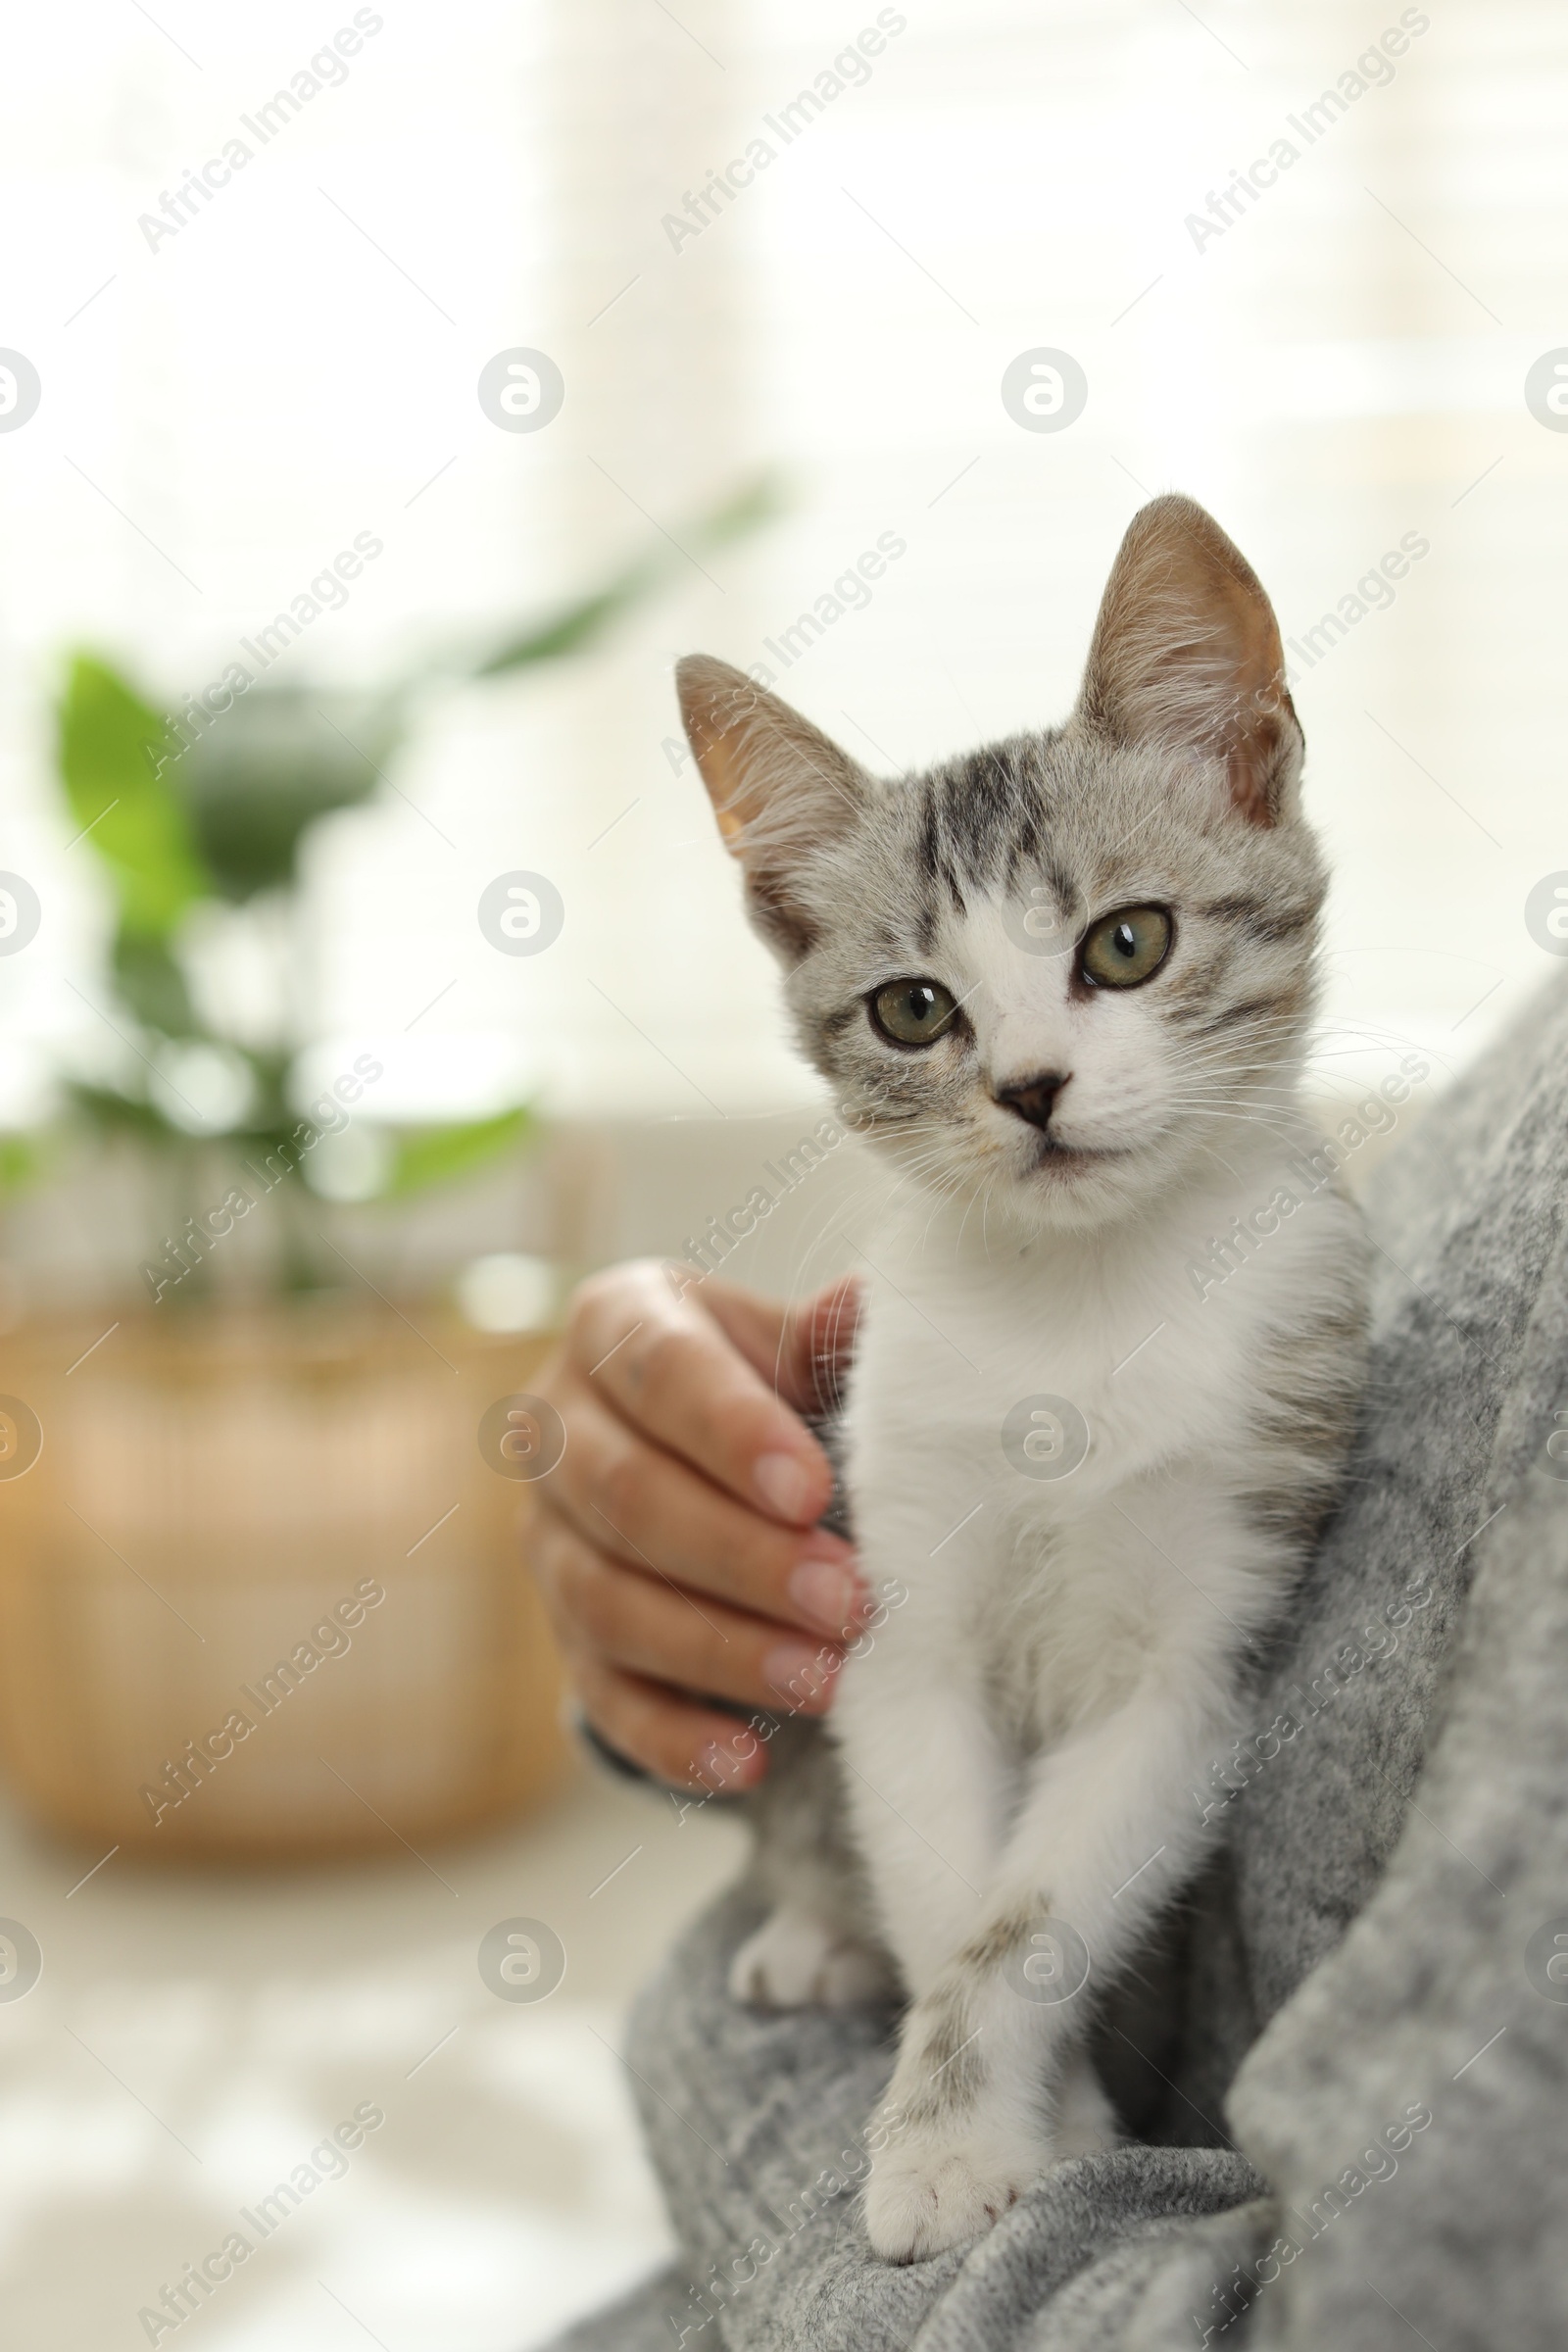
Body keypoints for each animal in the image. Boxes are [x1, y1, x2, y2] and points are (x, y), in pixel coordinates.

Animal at [676, 491, 1372, 2258]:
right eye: (914, 1009)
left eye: (1128, 943)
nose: (1032, 1089)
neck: (1079, 1303)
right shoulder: (894, 1615)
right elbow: (946, 1887)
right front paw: (982, 2127)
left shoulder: (1199, 1657)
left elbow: (1034, 1915)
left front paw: (995, 2124)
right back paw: (814, 1934)